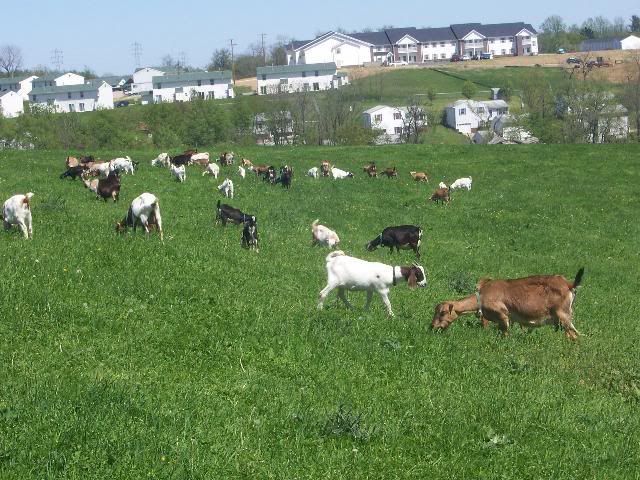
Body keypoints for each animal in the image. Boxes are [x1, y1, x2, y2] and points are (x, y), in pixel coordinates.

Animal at [431, 268, 585, 340]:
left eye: (442, 312)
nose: (432, 326)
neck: (482, 296)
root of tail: (569, 284)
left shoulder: (503, 315)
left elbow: (505, 333)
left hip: (563, 315)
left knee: (575, 336)